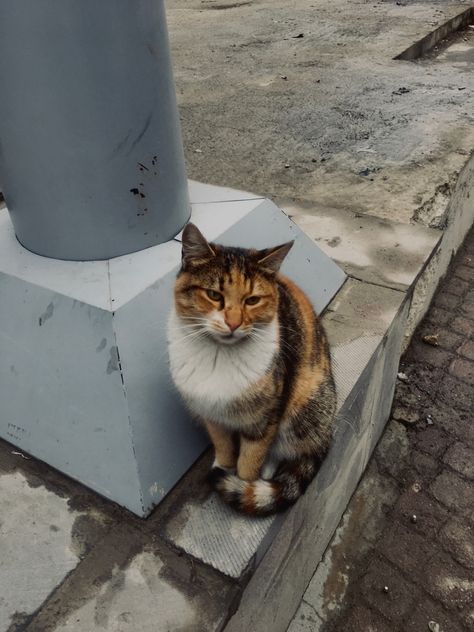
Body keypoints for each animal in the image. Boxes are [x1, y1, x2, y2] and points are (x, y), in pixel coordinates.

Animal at [168, 225, 336, 516]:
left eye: (253, 300)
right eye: (214, 295)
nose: (234, 323)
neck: (219, 356)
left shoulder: (266, 417)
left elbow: (251, 458)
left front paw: (242, 483)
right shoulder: (210, 411)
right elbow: (222, 444)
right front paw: (222, 466)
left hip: (302, 407)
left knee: (284, 449)